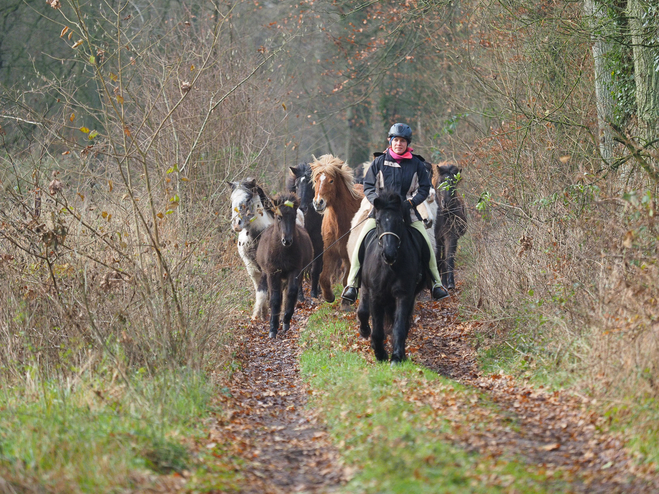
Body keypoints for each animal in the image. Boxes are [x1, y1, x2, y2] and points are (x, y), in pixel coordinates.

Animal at [256, 191, 314, 338]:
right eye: (279, 217)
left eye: (293, 217)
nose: (286, 240)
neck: (283, 252)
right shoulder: (273, 273)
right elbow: (275, 298)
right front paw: (272, 328)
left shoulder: (295, 271)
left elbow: (291, 293)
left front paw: (286, 321)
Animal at [288, 164, 324, 300]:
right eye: (297, 185)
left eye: (311, 185)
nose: (302, 207)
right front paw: (299, 295)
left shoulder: (319, 245)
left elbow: (316, 269)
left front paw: (314, 293)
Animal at [310, 154, 364, 302]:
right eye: (316, 180)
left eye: (331, 181)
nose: (318, 203)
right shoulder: (330, 252)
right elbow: (323, 278)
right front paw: (329, 296)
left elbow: (347, 280)